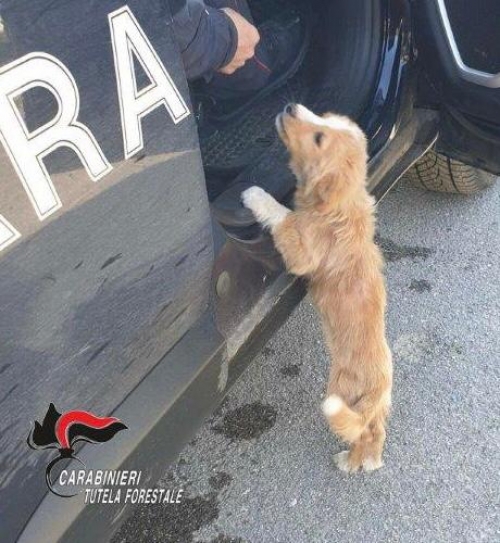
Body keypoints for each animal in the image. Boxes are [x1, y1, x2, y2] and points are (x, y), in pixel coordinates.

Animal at [241, 104, 390, 474]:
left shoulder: (301, 252)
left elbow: (282, 216)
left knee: (358, 431)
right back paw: (369, 462)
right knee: (374, 431)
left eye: (319, 137)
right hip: (374, 411)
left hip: (342, 391)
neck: (340, 206)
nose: (291, 106)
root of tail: (379, 388)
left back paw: (348, 463)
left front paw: (255, 194)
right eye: (325, 119)